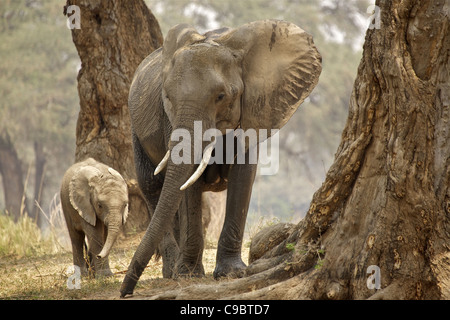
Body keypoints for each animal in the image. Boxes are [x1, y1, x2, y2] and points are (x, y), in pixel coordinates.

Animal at [121, 18, 322, 296]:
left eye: (221, 97)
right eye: (167, 97)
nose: (125, 291)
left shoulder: (251, 112)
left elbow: (243, 176)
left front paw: (231, 273)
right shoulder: (169, 120)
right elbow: (187, 187)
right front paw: (188, 275)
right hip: (135, 129)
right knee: (152, 186)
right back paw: (172, 270)